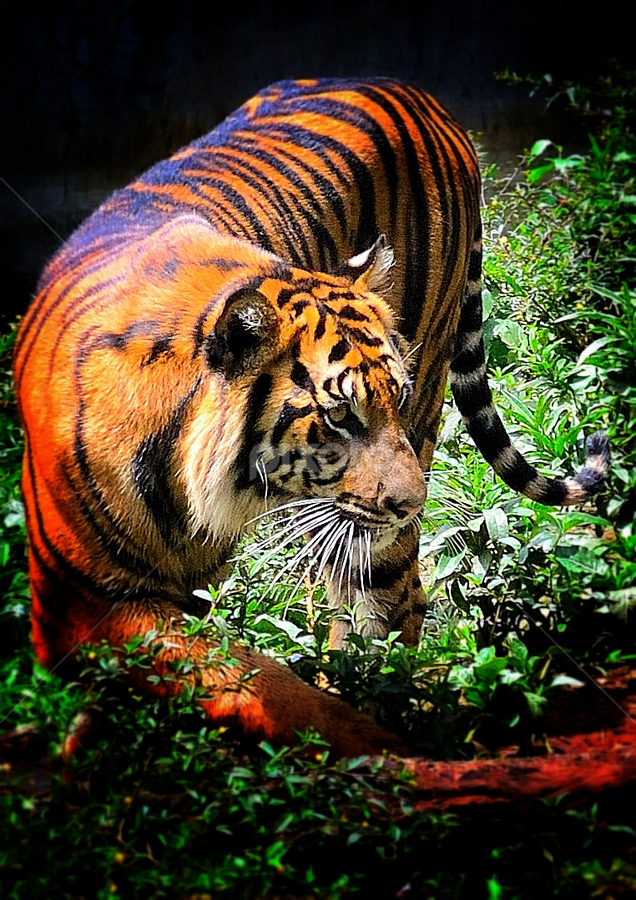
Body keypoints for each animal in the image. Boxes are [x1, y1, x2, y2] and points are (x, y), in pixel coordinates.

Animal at [14, 78, 609, 759]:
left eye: (393, 398)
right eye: (341, 416)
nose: (411, 504)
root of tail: (417, 91)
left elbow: (272, 689)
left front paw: (379, 749)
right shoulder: (82, 604)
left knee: (389, 608)